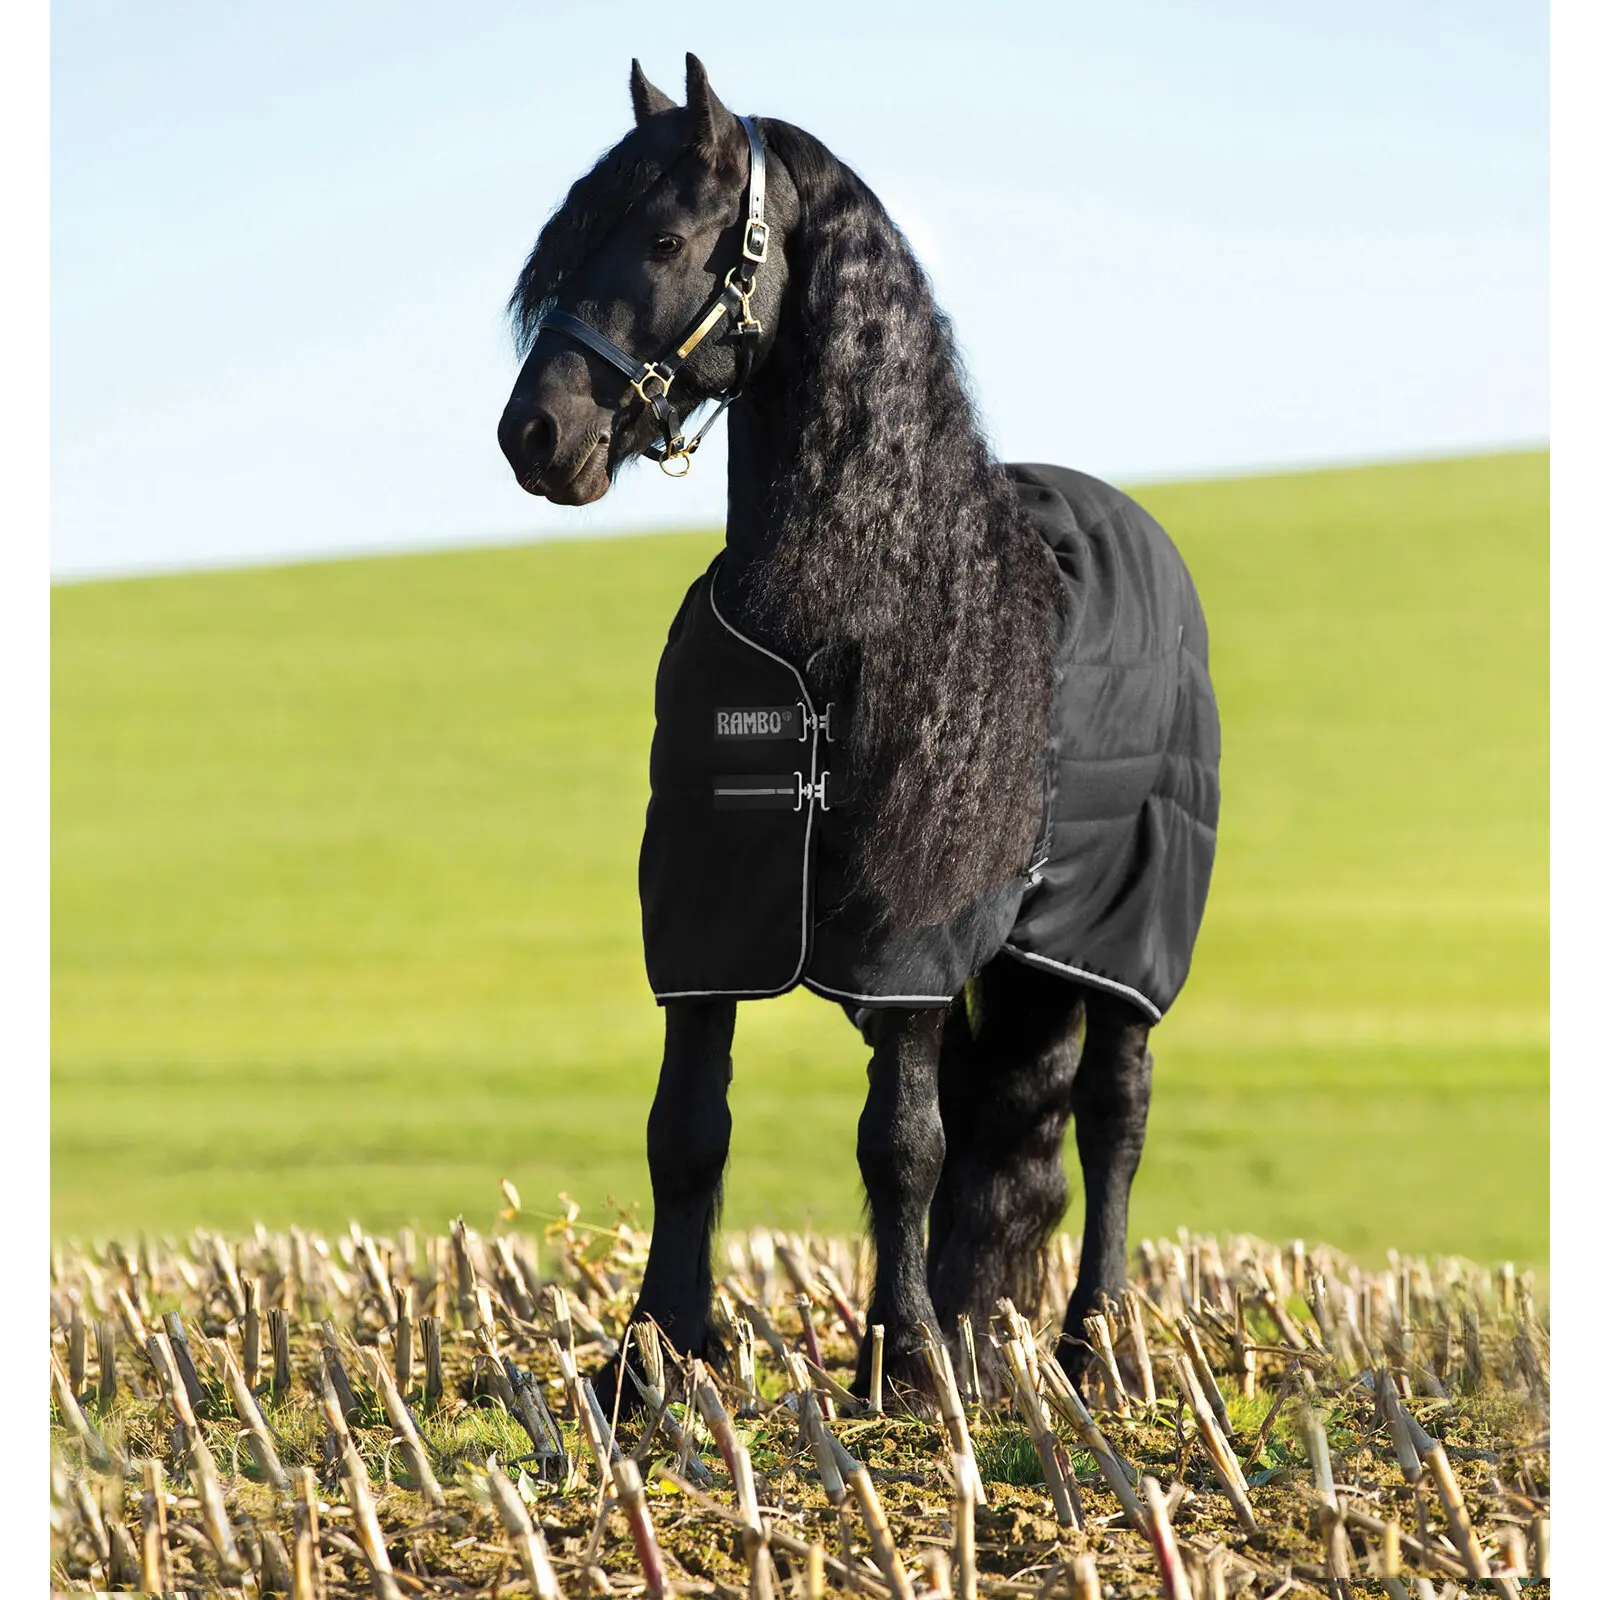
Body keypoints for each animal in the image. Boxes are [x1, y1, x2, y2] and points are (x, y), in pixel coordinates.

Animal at [496, 55, 1221, 1405]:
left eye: (665, 238)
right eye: (565, 245)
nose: (536, 436)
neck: (852, 596)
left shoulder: (909, 940)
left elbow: (902, 1143)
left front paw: (906, 1369)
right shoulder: (706, 914)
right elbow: (687, 1132)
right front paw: (653, 1355)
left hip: (1124, 947)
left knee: (1114, 1118)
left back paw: (1093, 1348)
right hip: (1023, 954)